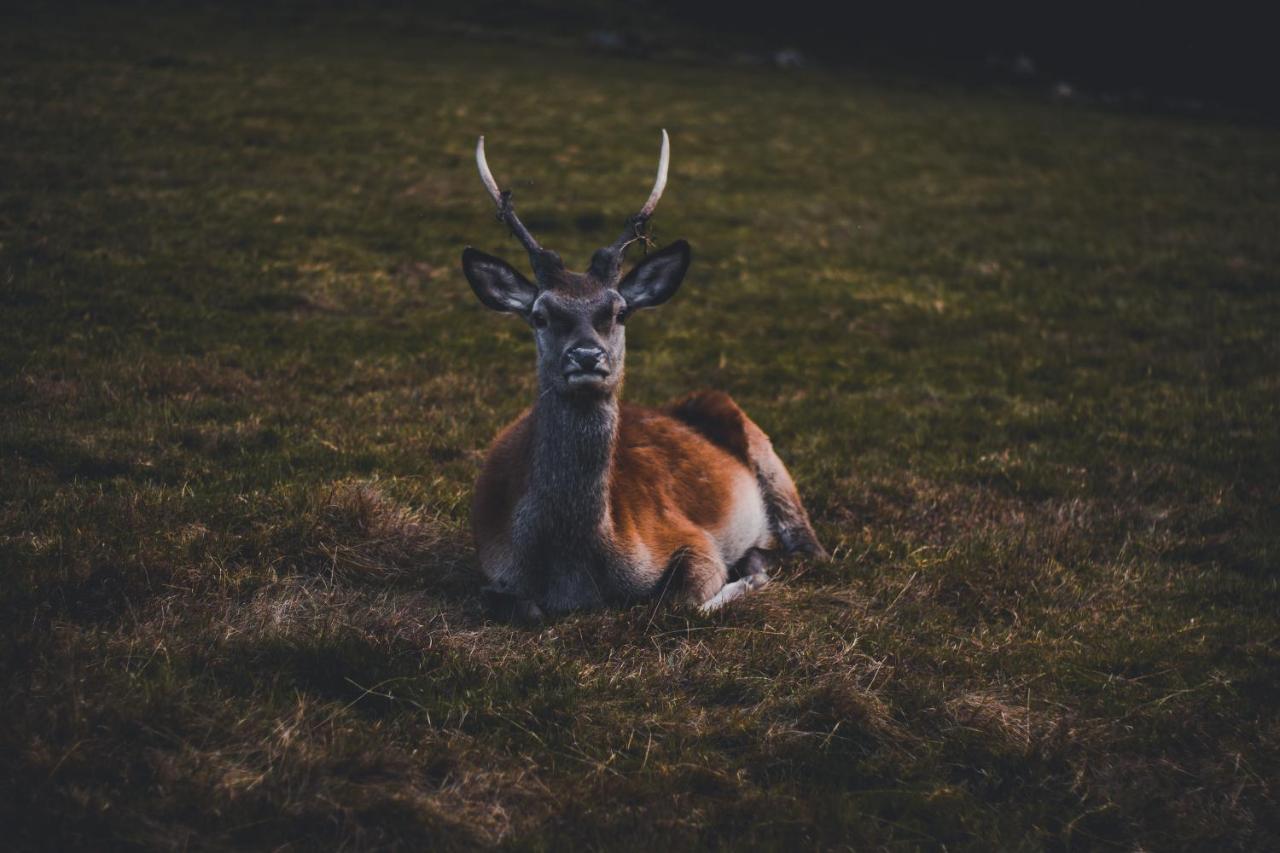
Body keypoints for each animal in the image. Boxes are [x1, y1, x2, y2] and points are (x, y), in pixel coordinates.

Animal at [465, 128, 824, 617]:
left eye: (619, 312)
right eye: (540, 315)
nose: (587, 357)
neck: (573, 568)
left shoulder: (690, 537)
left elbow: (684, 600)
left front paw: (750, 574)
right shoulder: (491, 568)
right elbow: (513, 604)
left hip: (770, 461)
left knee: (810, 548)